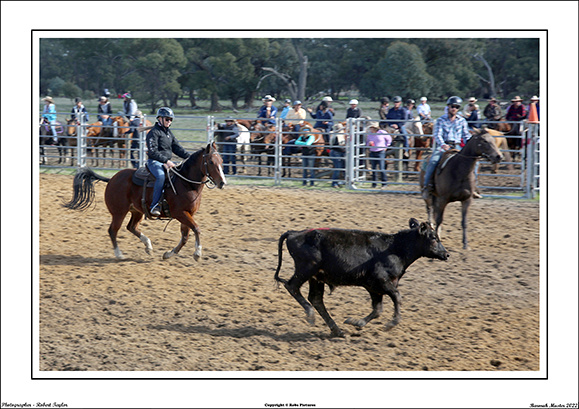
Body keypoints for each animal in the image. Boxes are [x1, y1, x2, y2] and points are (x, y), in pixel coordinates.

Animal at [63, 142, 227, 260]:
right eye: (211, 162)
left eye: (221, 160)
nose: (222, 182)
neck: (185, 183)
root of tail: (112, 179)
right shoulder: (180, 213)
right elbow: (196, 229)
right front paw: (197, 253)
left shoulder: (188, 214)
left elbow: (185, 236)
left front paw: (168, 254)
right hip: (119, 212)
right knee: (113, 230)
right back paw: (119, 254)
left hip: (137, 211)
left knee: (131, 227)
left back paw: (148, 246)